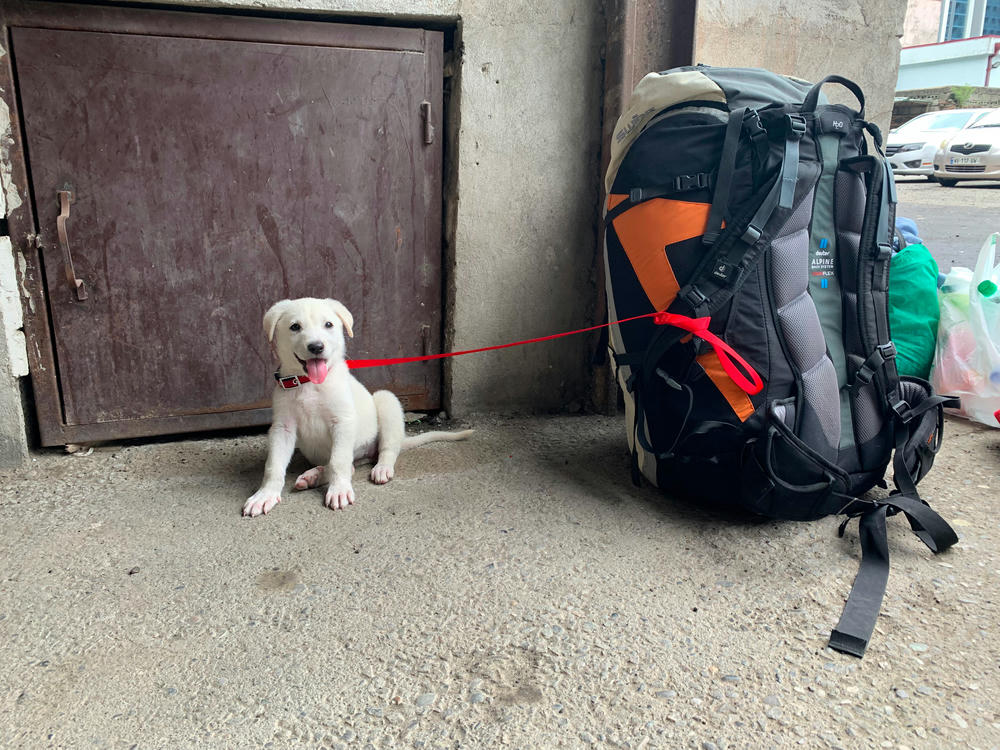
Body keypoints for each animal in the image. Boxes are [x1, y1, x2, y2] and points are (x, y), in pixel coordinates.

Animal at [244, 298, 474, 516]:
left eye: (328, 324)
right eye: (295, 327)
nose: (316, 347)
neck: (310, 384)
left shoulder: (343, 422)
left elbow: (339, 461)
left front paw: (338, 491)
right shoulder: (283, 428)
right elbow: (273, 465)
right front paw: (265, 495)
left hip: (386, 401)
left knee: (385, 450)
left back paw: (380, 468)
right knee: (350, 467)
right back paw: (314, 476)